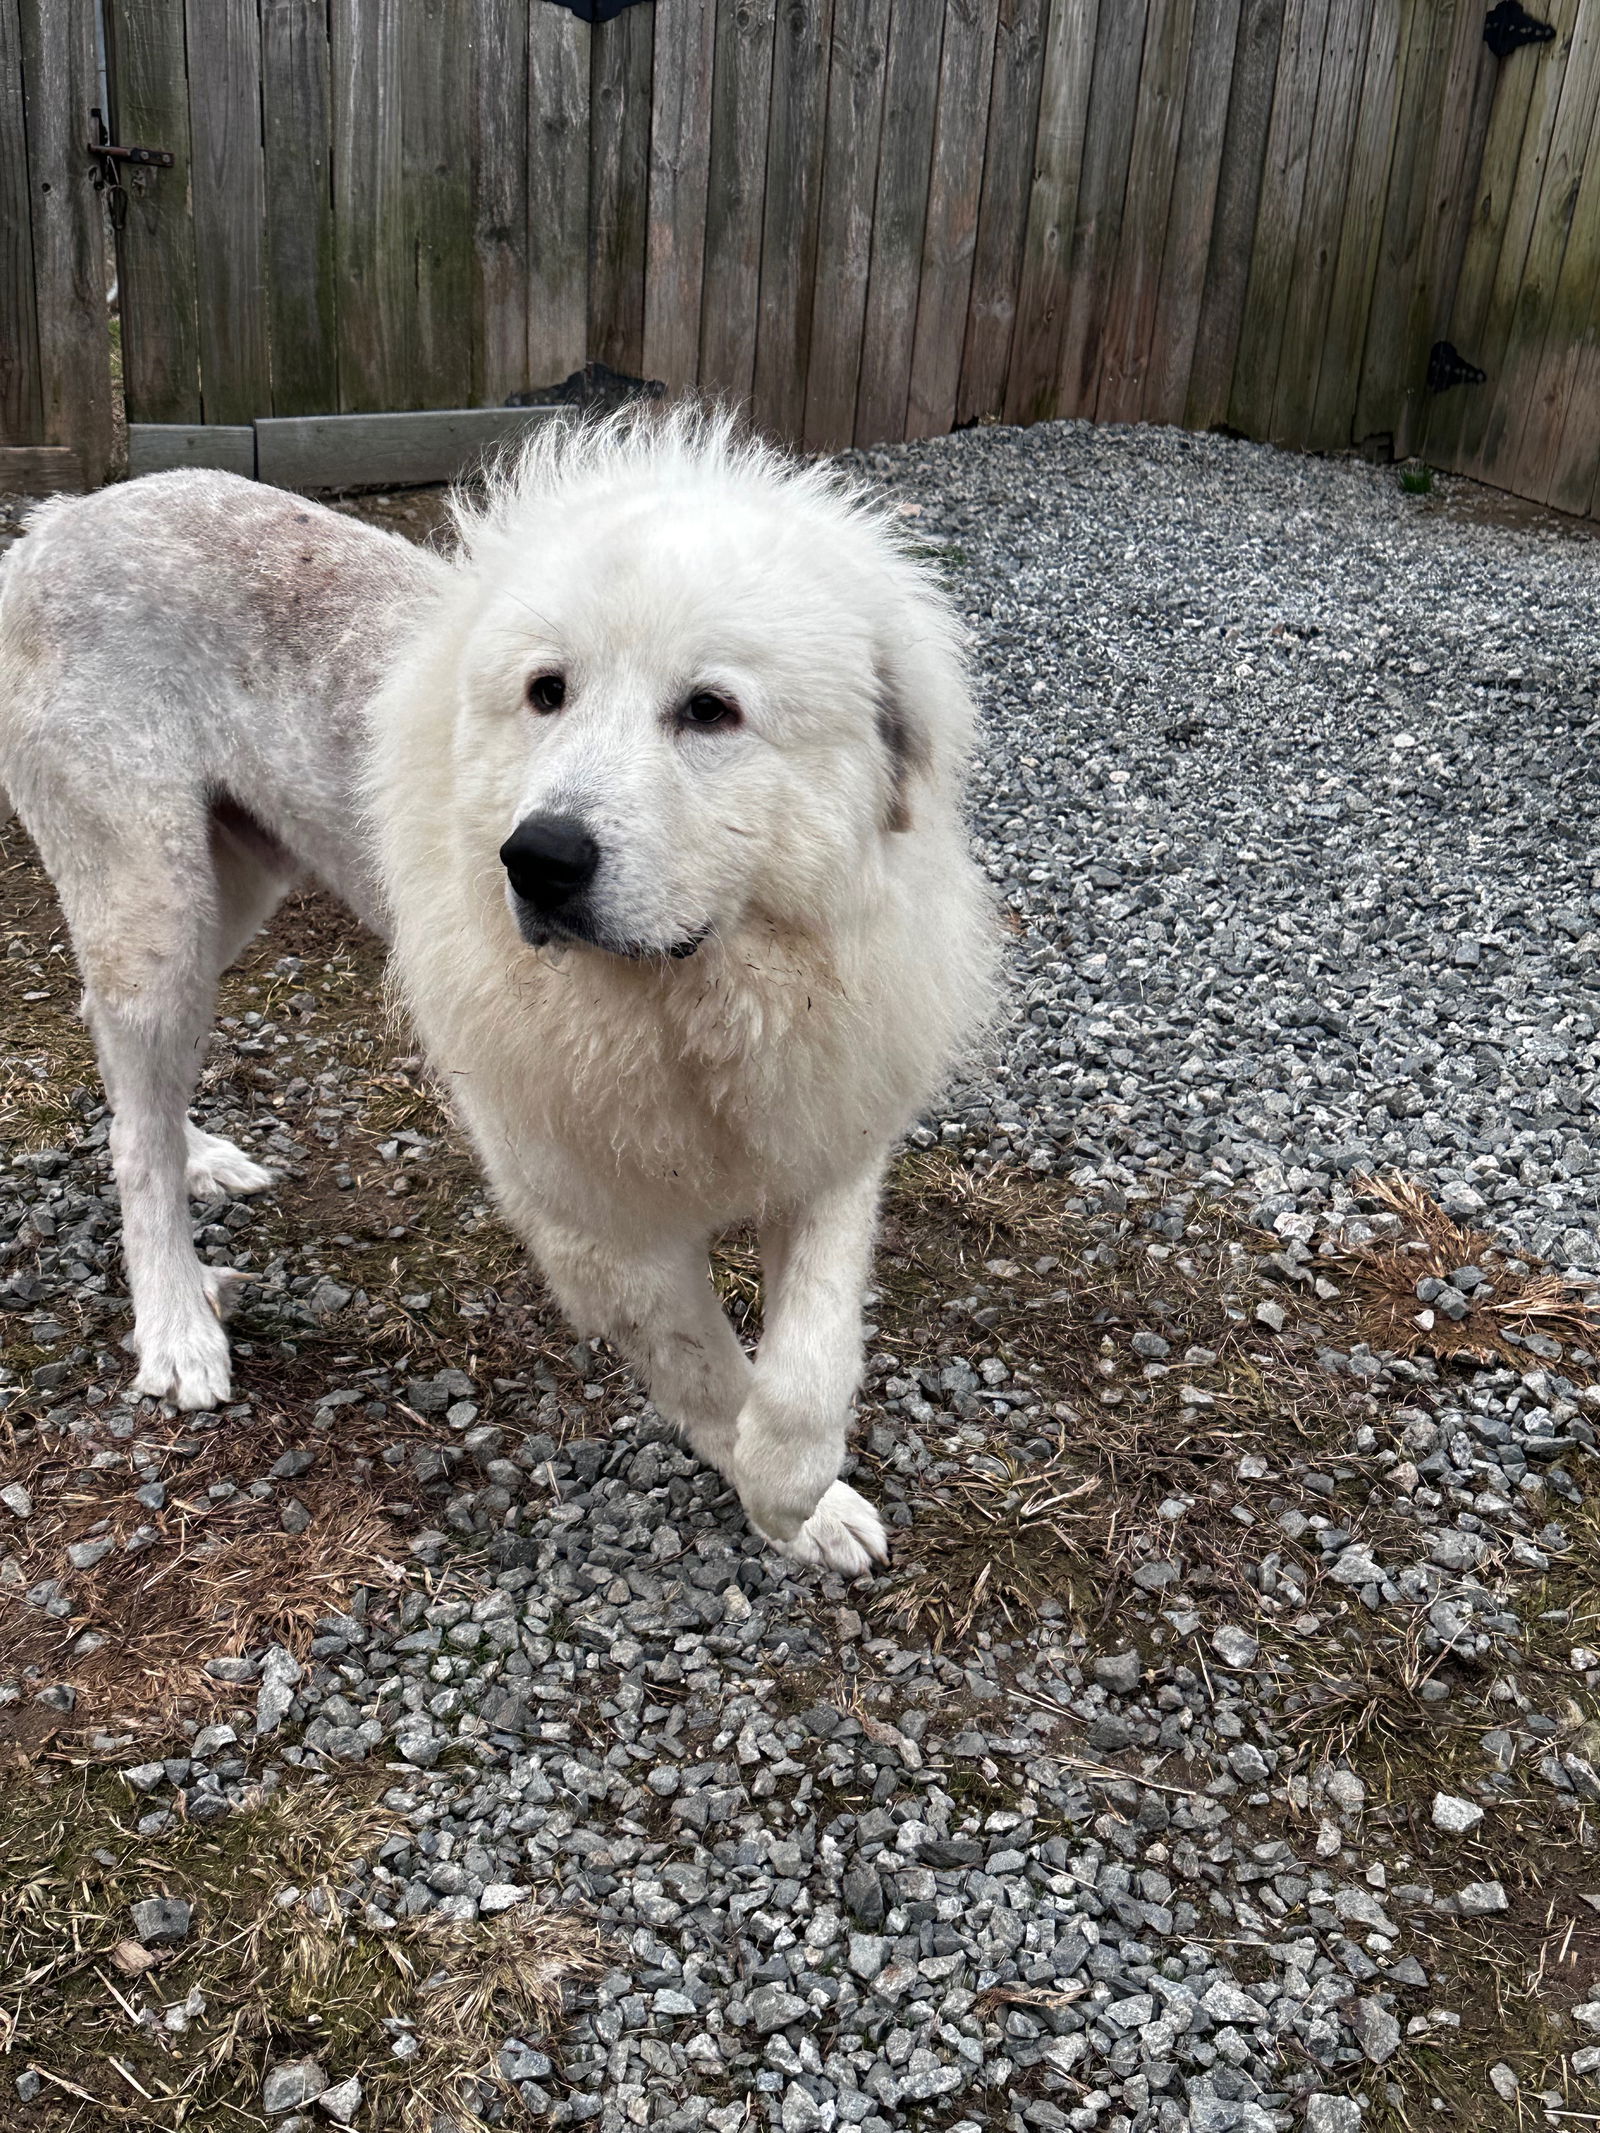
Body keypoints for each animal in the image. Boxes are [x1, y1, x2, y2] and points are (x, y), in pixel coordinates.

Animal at [3, 415, 1002, 1578]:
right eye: (546, 691)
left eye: (710, 710)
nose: (537, 860)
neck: (686, 996)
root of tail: (62, 517)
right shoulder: (597, 1223)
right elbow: (708, 1367)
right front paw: (772, 1494)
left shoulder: (829, 1124)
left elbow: (812, 1357)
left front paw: (806, 1489)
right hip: (154, 905)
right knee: (133, 1135)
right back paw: (176, 1321)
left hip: (230, 890)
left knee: (129, 1072)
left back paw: (197, 1153)